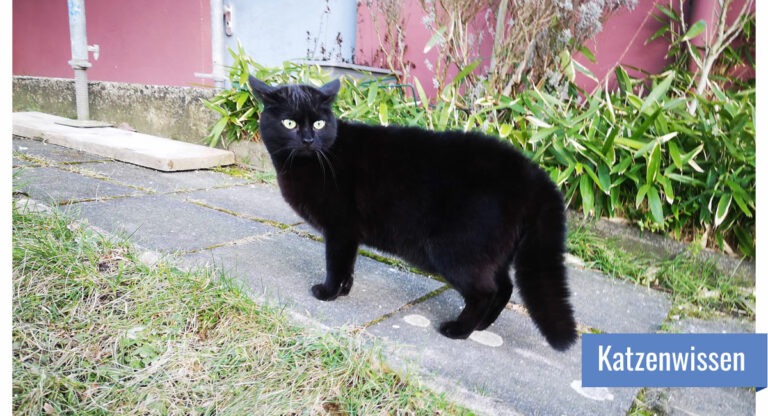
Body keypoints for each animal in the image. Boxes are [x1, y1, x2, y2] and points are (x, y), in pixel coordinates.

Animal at [248, 75, 576, 352]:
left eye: (318, 124)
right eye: (289, 123)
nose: (307, 140)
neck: (311, 161)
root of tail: (533, 173)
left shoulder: (339, 229)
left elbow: (335, 264)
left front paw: (328, 293)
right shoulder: (349, 234)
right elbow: (348, 266)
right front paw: (344, 291)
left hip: (455, 250)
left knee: (485, 291)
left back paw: (459, 330)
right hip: (493, 251)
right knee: (504, 288)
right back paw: (481, 327)